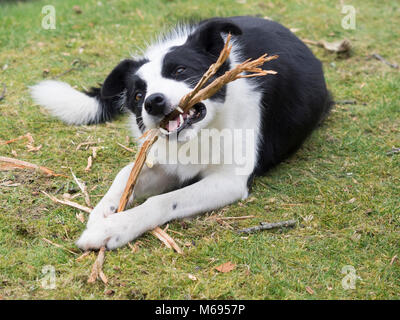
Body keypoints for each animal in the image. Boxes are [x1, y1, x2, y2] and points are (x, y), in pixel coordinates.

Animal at [30, 15, 332, 250]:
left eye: (180, 71)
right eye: (138, 95)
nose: (153, 102)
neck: (201, 131)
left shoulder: (229, 181)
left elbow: (162, 201)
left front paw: (113, 228)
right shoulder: (164, 161)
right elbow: (125, 174)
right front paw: (102, 212)